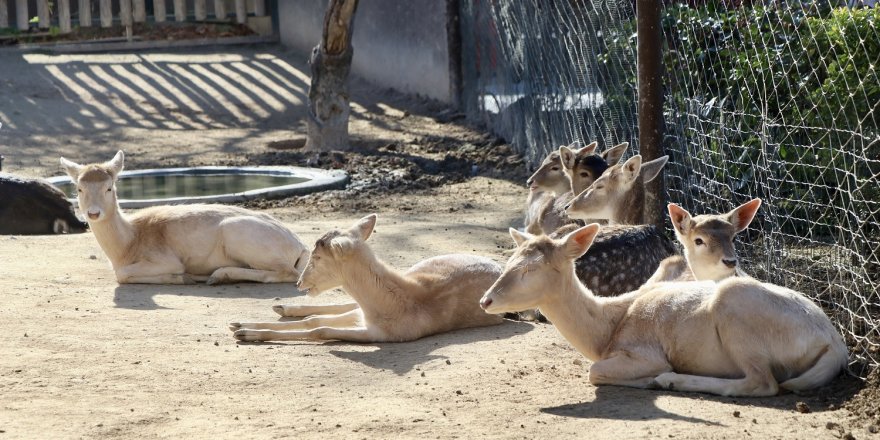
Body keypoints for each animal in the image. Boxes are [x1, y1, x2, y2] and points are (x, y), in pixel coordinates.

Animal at [60, 151, 308, 286]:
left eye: (109, 187)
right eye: (79, 188)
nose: (93, 213)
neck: (128, 244)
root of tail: (300, 247)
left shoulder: (166, 259)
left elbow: (121, 274)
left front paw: (182, 278)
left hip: (239, 235)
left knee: (289, 273)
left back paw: (218, 275)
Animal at [230, 215, 506, 342]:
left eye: (317, 256)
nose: (299, 283)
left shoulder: (384, 335)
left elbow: (319, 329)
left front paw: (244, 333)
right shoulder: (361, 315)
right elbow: (314, 320)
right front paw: (240, 326)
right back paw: (280, 306)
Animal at [478, 225, 848, 398]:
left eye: (530, 270)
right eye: (509, 261)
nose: (486, 301)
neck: (605, 332)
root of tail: (836, 344)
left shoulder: (644, 351)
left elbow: (594, 371)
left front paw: (651, 379)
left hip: (736, 309)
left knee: (764, 382)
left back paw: (671, 380)